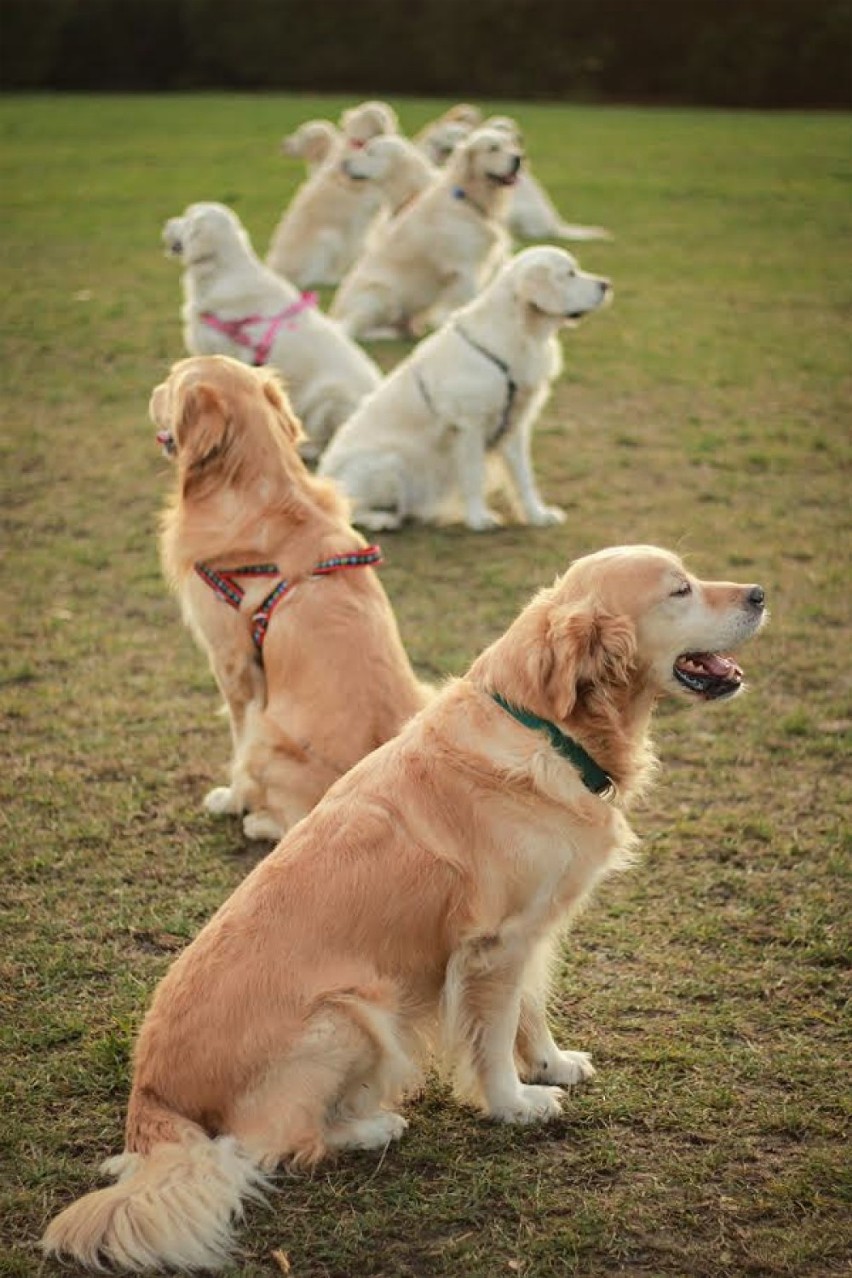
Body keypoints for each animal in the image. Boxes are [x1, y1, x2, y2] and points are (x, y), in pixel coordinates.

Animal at [43, 544, 771, 1272]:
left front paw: (553, 1064)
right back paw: (373, 1126)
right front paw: (515, 1104)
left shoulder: (530, 931)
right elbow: (493, 1039)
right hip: (353, 1015)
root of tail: (150, 1095)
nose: (761, 593)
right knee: (273, 1144)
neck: (548, 731)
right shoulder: (494, 945)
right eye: (680, 590)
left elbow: (529, 1011)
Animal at [150, 355, 429, 843]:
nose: (151, 392)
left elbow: (235, 738)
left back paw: (257, 820)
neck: (260, 488)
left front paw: (231, 800)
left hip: (268, 736)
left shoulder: (231, 660)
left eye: (172, 381)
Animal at [321, 244, 613, 529]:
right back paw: (381, 519)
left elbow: (523, 477)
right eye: (570, 273)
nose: (606, 284)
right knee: (348, 510)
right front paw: (479, 518)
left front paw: (537, 515)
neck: (520, 334)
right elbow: (474, 475)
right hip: (390, 463)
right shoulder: (469, 423)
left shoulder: (515, 424)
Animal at [332, 125, 521, 342]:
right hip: (379, 294)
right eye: (493, 148)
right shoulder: (465, 267)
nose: (518, 159)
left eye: (510, 145)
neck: (467, 199)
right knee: (350, 328)